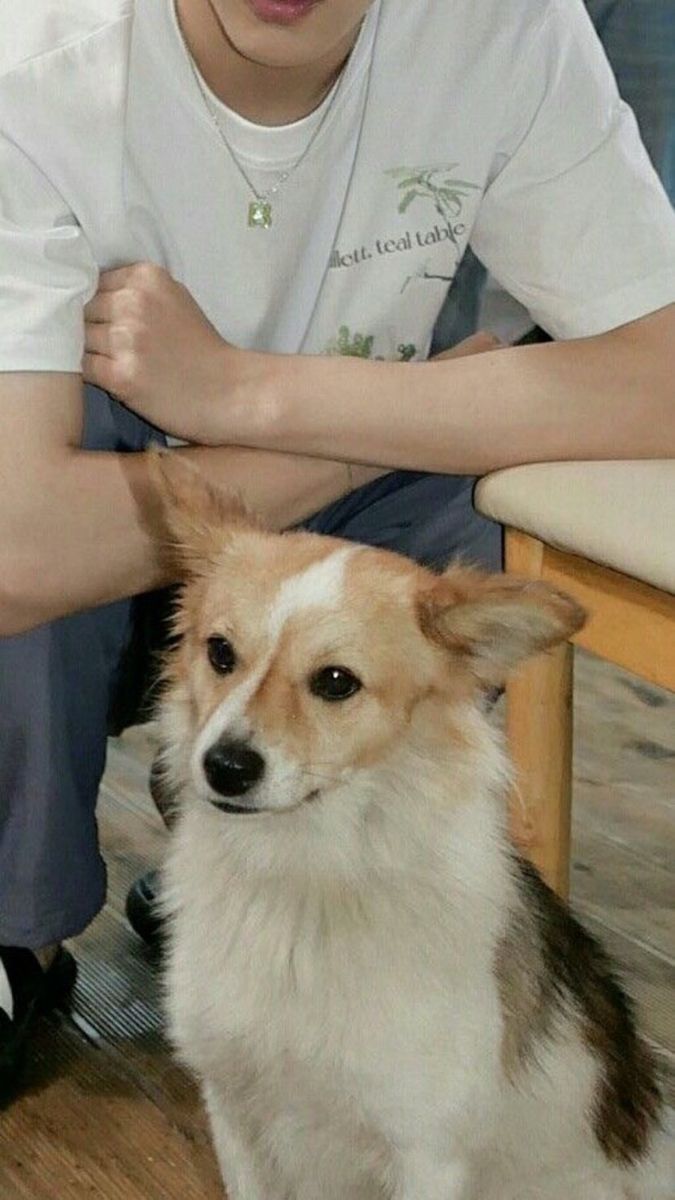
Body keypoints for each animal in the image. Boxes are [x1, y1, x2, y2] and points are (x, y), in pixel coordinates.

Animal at [153, 453, 672, 1195]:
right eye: (220, 652)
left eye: (335, 682)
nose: (224, 767)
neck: (307, 883)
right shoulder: (233, 1114)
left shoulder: (426, 1152)